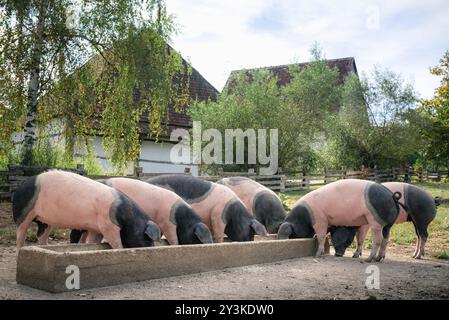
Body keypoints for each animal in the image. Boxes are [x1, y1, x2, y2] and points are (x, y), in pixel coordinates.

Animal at [11, 169, 161, 251]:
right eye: (146, 237)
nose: (152, 247)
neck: (127, 218)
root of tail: (19, 186)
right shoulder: (108, 226)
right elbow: (117, 243)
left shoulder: (96, 229)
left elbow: (93, 242)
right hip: (22, 213)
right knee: (20, 236)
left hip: (46, 221)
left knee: (41, 235)